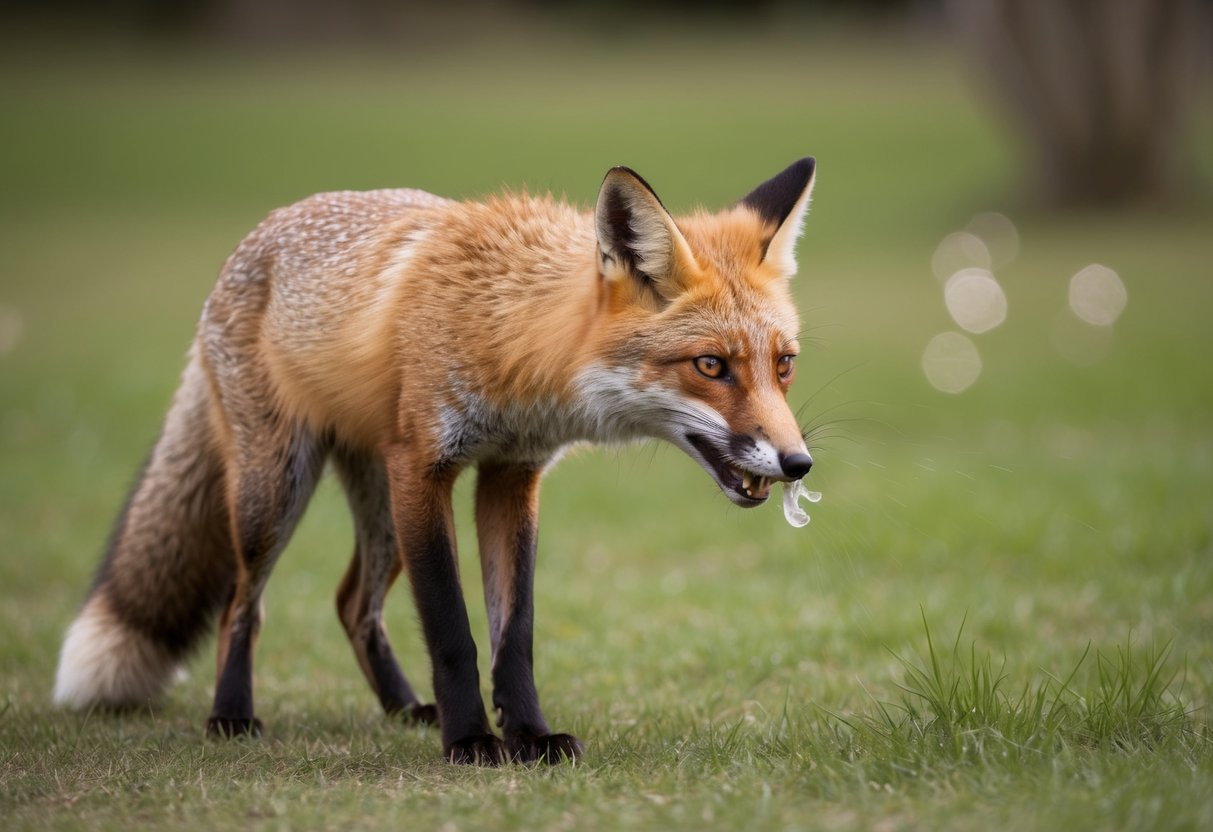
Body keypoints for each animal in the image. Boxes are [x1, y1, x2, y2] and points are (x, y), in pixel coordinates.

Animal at [53, 157, 818, 764]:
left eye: (783, 365)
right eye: (711, 365)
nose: (798, 462)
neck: (512, 342)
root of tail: (259, 233)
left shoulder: (511, 476)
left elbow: (515, 633)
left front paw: (529, 736)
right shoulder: (425, 469)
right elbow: (453, 630)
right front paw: (471, 741)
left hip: (380, 512)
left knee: (352, 603)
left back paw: (402, 708)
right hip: (277, 490)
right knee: (244, 602)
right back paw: (233, 714)